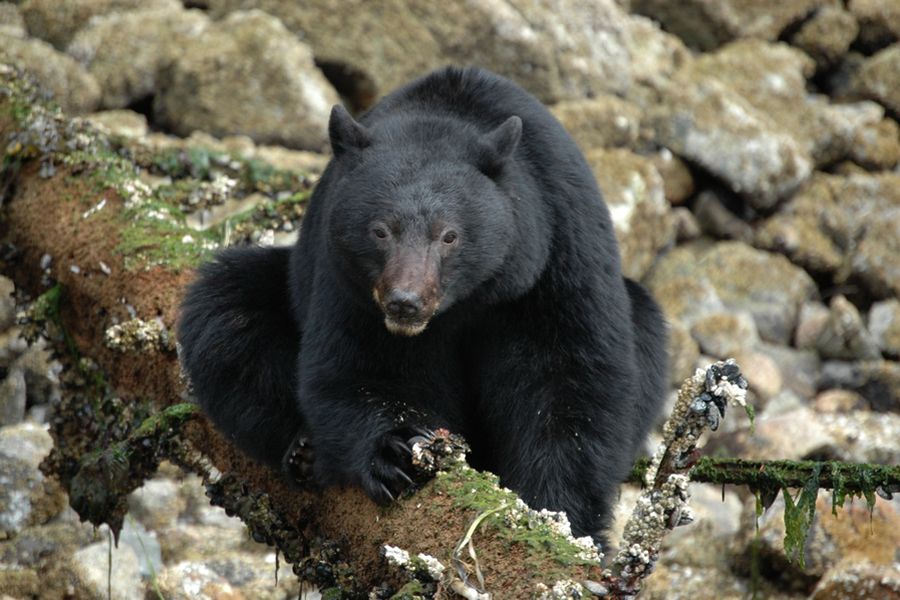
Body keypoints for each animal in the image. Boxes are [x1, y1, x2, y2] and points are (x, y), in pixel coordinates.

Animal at [178, 65, 668, 540]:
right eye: (380, 230)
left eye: (450, 235)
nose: (405, 303)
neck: (467, 302)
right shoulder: (347, 281)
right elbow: (363, 367)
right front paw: (395, 452)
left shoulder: (552, 255)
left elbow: (566, 378)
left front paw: (557, 514)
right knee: (225, 315)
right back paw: (303, 450)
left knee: (643, 329)